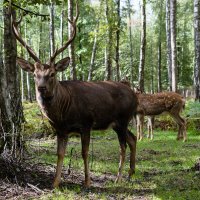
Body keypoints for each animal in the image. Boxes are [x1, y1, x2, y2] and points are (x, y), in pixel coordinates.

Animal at [11, 3, 138, 188]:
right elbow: (60, 154)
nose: (41, 88)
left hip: (123, 118)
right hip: (117, 123)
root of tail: (134, 94)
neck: (64, 111)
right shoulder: (60, 129)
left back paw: (119, 178)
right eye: (34, 74)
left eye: (52, 74)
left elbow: (84, 152)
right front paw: (55, 183)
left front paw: (87, 182)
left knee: (123, 146)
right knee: (133, 139)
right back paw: (130, 174)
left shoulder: (86, 123)